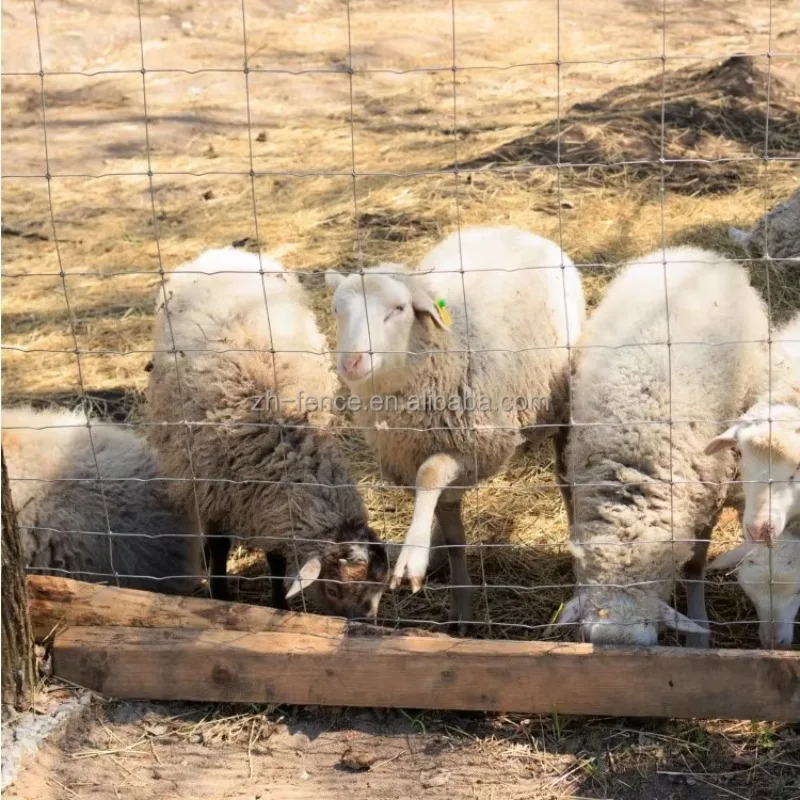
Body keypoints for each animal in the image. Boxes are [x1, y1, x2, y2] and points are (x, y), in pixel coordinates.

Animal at [144, 247, 389, 618]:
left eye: (378, 588)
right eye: (332, 588)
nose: (364, 625)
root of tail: (223, 251)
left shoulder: (268, 505)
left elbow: (275, 559)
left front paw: (279, 604)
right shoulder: (211, 489)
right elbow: (218, 548)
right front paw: (221, 596)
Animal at [326, 226, 586, 629]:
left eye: (399, 309)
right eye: (338, 310)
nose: (351, 362)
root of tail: (510, 228)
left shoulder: (472, 448)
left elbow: (429, 475)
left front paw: (413, 556)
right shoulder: (424, 454)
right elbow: (453, 536)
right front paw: (460, 606)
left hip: (563, 405)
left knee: (567, 479)